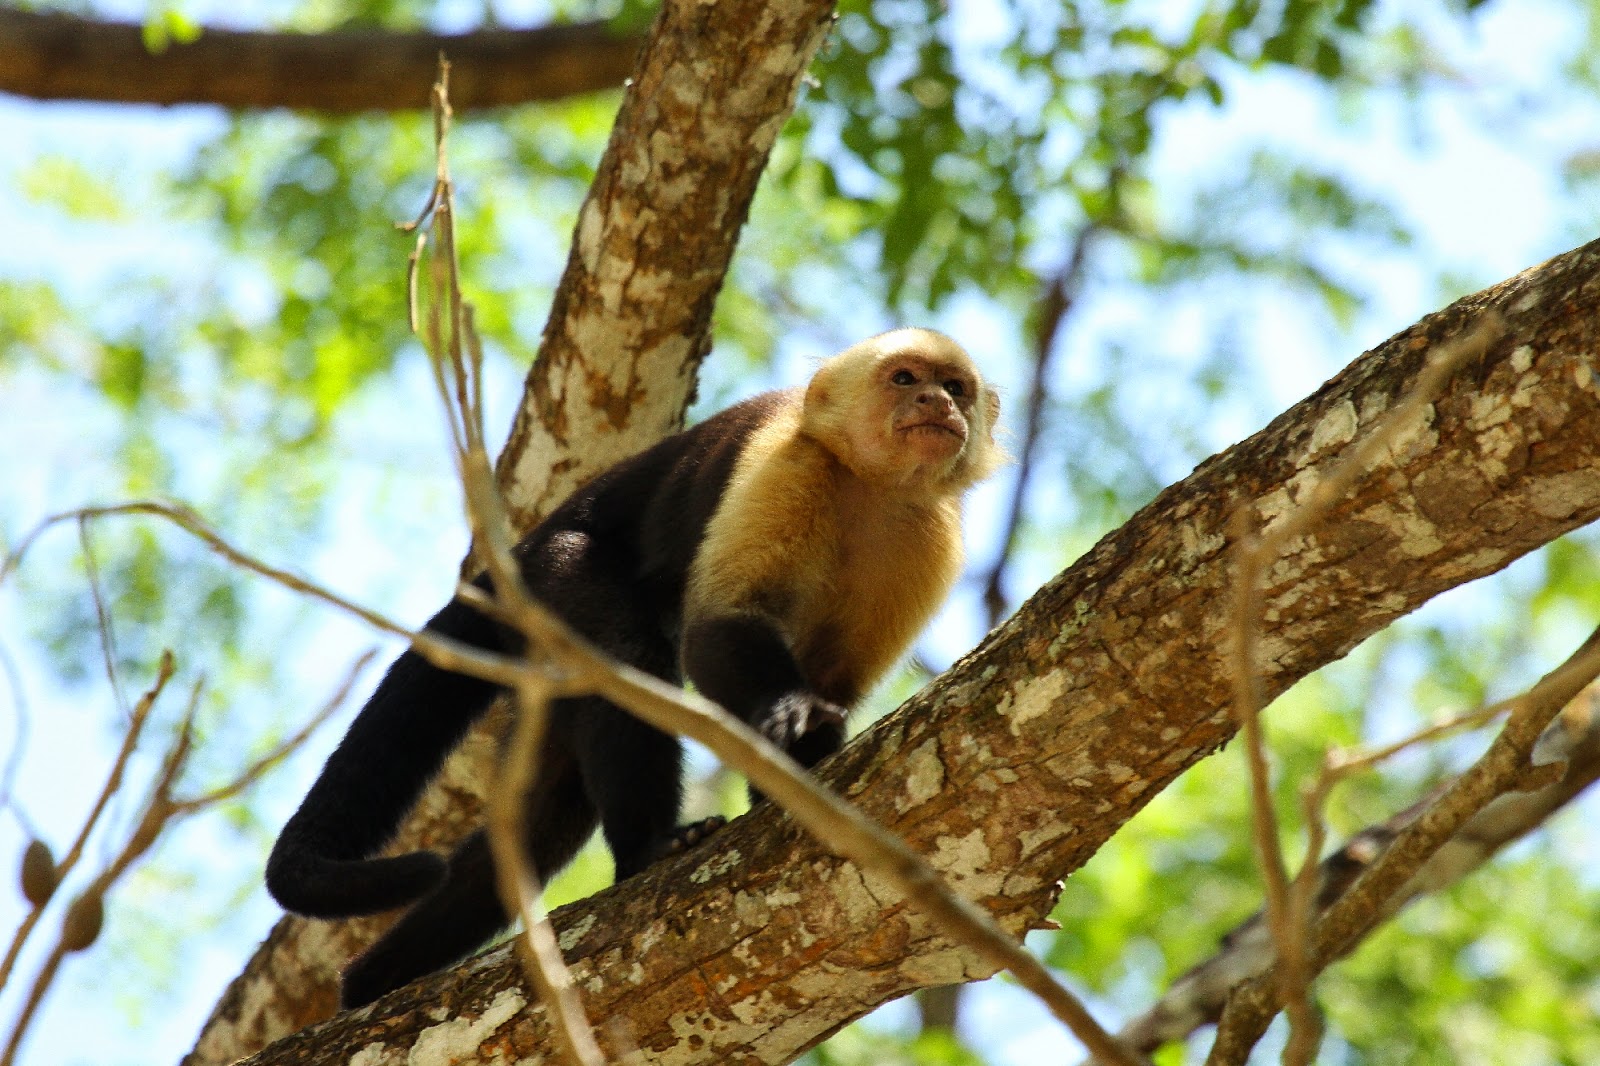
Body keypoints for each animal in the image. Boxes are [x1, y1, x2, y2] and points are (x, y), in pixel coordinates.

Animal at [264, 327, 1002, 1008]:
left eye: (955, 387)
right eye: (904, 378)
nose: (938, 402)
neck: (867, 486)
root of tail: (520, 554)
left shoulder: (927, 536)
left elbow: (836, 681)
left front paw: (801, 761)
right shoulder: (791, 465)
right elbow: (717, 629)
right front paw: (788, 716)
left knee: (546, 810)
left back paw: (369, 982)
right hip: (559, 575)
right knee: (625, 662)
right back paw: (648, 848)